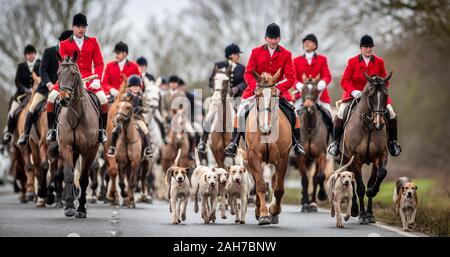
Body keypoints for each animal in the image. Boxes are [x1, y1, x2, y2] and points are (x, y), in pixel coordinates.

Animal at [57, 53, 100, 217]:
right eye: (58, 73)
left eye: (73, 74)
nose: (63, 99)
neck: (76, 115)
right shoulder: (65, 147)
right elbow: (69, 175)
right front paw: (69, 206)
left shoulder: (90, 150)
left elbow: (83, 179)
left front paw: (81, 208)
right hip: (73, 151)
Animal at [244, 70, 294, 224]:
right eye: (257, 94)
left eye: (274, 94)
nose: (265, 127)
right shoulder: (253, 156)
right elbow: (260, 185)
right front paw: (263, 214)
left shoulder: (283, 158)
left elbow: (279, 188)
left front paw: (274, 210)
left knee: (274, 183)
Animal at [342, 71, 392, 223]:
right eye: (371, 95)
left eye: (386, 94)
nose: (379, 124)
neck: (368, 126)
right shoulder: (356, 159)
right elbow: (359, 187)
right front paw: (362, 215)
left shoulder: (380, 156)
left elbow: (379, 176)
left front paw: (369, 213)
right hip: (346, 159)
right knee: (350, 181)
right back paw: (354, 209)